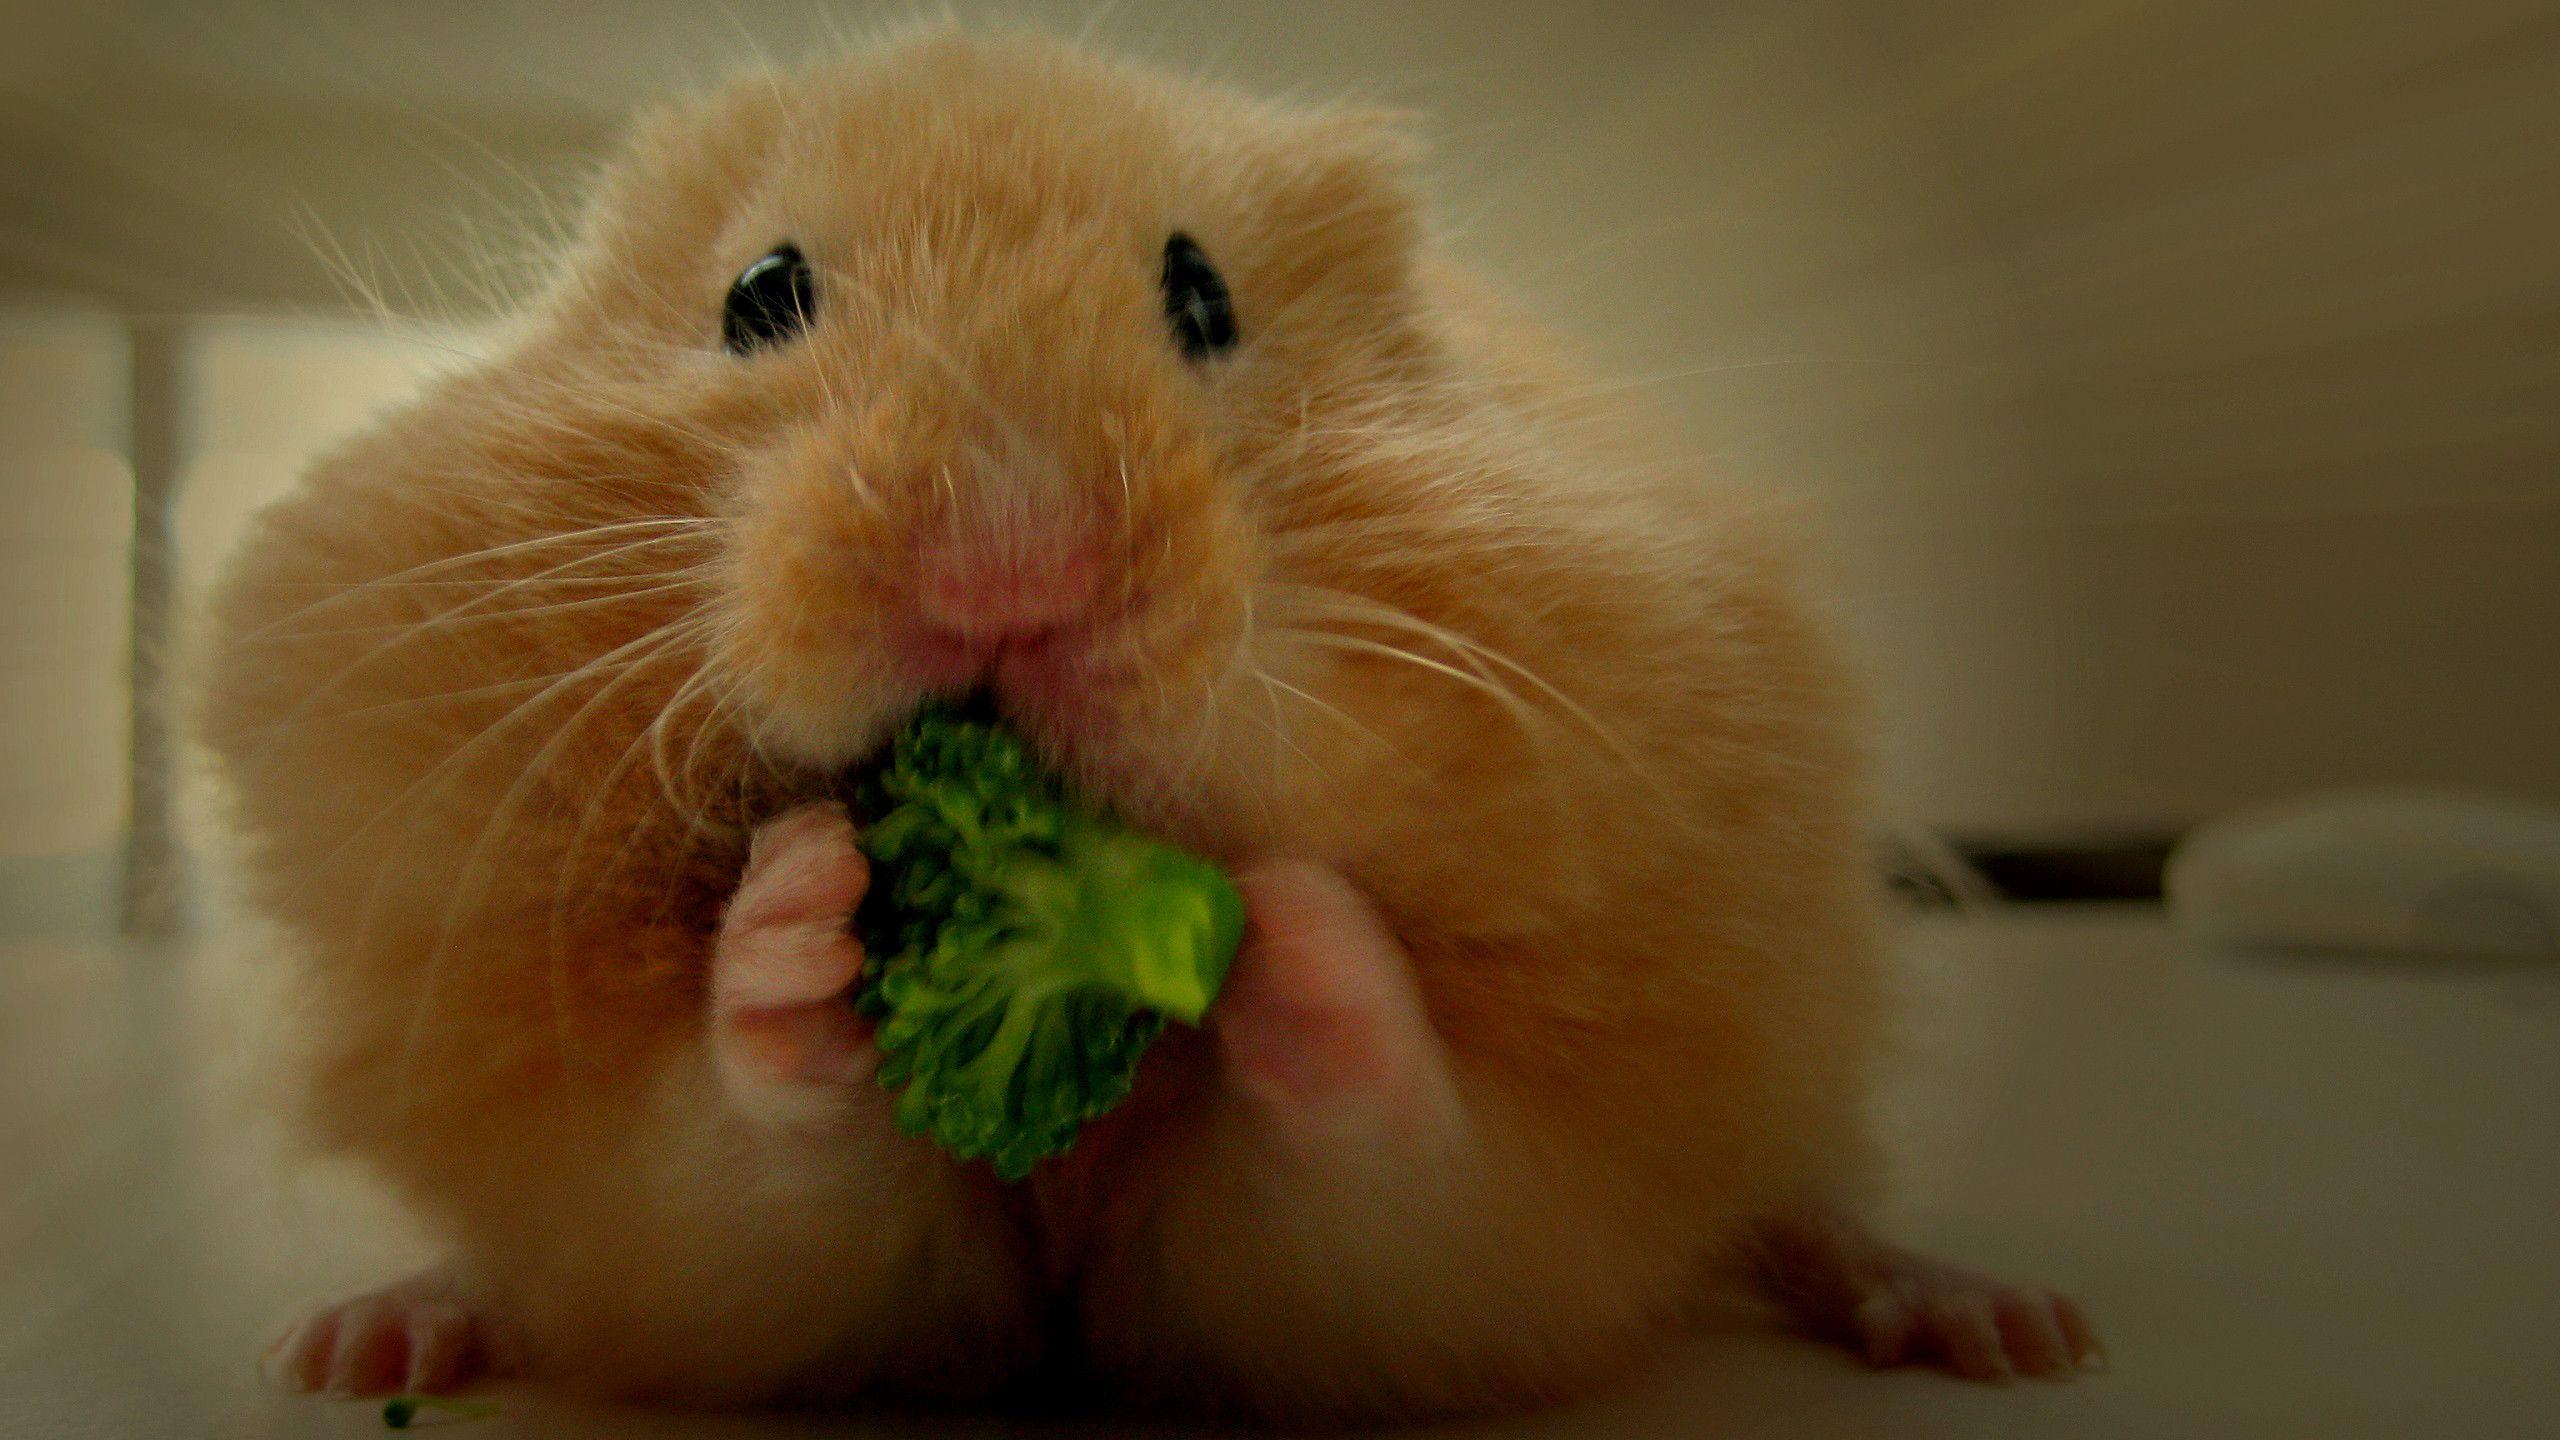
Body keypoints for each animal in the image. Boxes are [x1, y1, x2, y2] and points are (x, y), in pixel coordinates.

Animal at [199, 27, 2098, 1423]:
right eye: (759, 294)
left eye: (1203, 297)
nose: (1005, 571)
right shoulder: (719, 1253)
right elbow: (752, 1156)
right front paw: (800, 910)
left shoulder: (1445, 1248)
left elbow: (1386, 1151)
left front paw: (1294, 933)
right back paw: (363, 1340)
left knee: (1808, 1201)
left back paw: (1999, 1324)